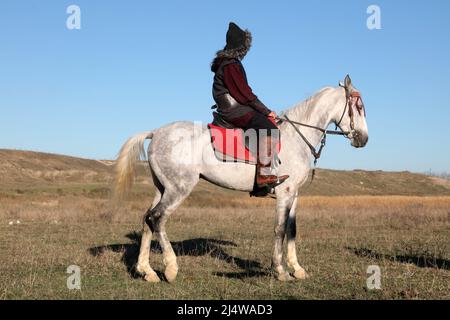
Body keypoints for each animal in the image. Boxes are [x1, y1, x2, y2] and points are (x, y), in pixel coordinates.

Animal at [114, 75, 368, 282]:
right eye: (359, 106)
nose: (363, 139)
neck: (297, 137)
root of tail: (156, 133)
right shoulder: (284, 194)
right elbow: (279, 229)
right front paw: (281, 271)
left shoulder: (294, 194)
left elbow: (292, 230)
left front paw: (297, 269)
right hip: (179, 188)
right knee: (158, 219)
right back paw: (170, 268)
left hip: (162, 188)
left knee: (147, 220)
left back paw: (147, 271)